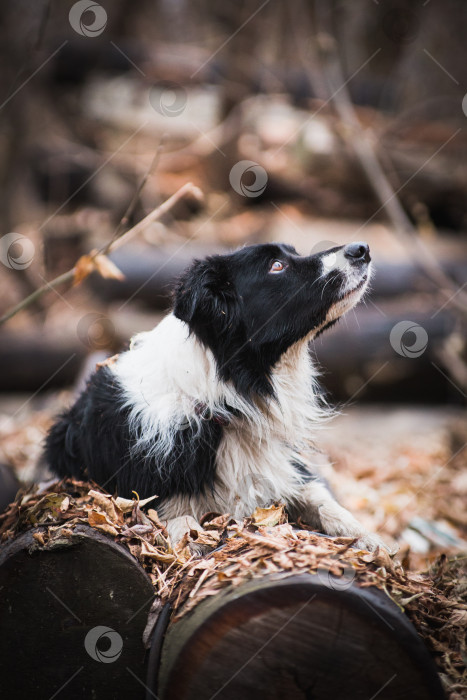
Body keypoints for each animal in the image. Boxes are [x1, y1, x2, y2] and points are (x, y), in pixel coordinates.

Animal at [44, 241, 388, 552]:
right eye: (277, 266)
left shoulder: (286, 471)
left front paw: (371, 541)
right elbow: (179, 522)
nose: (362, 249)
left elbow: (321, 499)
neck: (225, 399)